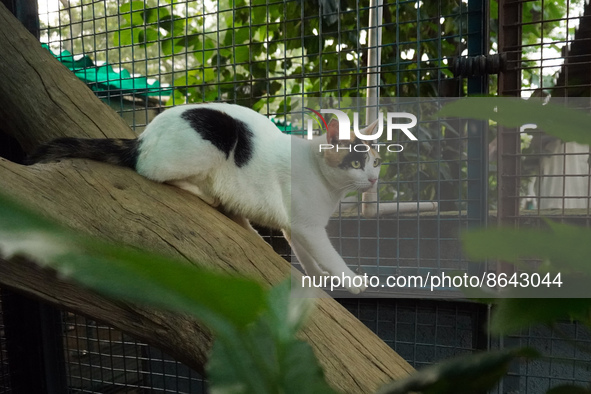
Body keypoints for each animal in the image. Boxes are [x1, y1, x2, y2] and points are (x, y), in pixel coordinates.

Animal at [30, 103, 384, 294]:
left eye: (376, 161)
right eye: (356, 163)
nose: (373, 179)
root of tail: (142, 137)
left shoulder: (296, 227)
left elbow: (308, 256)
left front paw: (317, 278)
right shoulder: (308, 227)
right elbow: (328, 254)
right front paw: (352, 281)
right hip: (213, 138)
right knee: (151, 172)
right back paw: (207, 195)